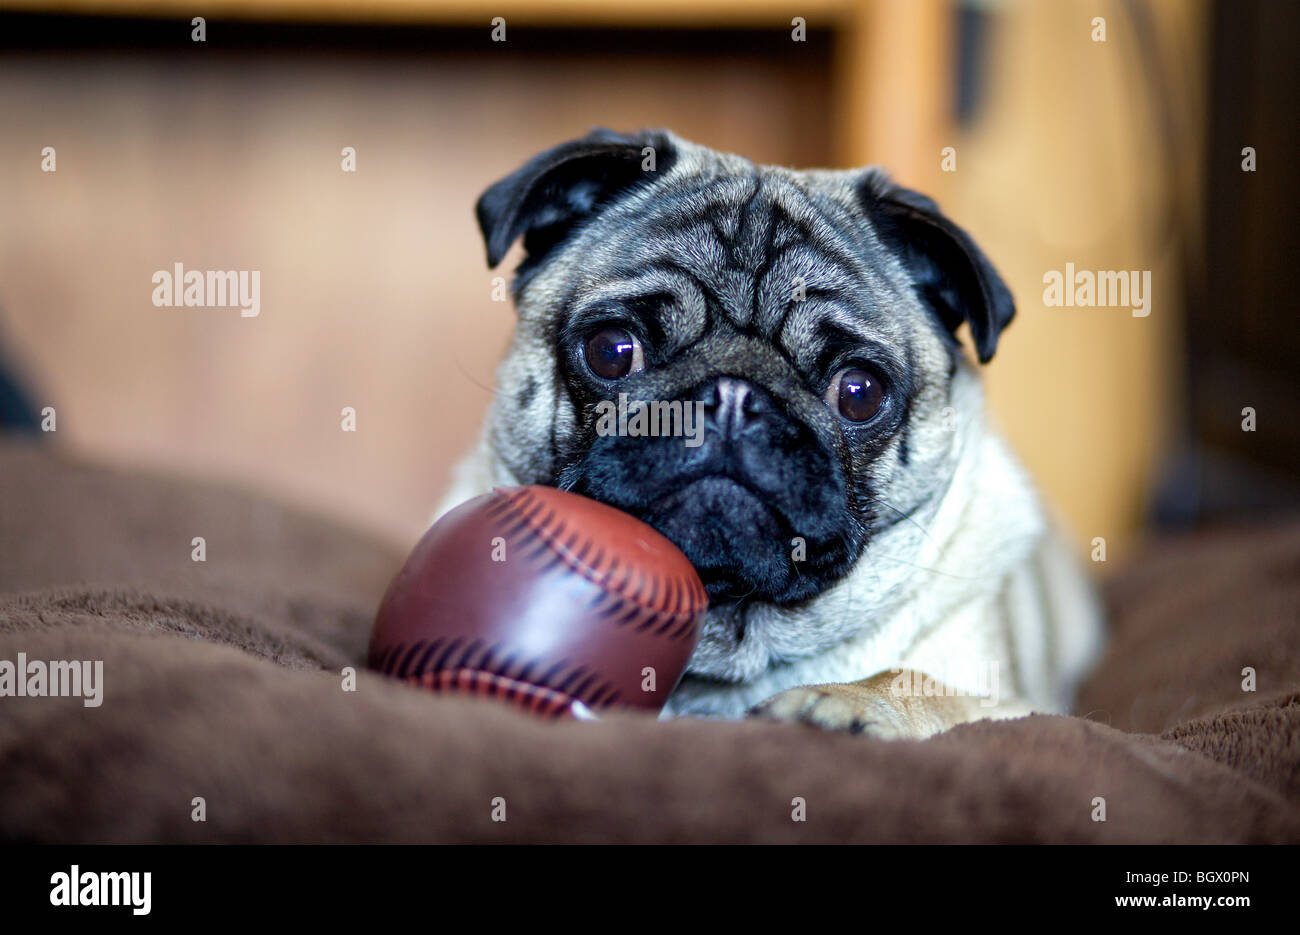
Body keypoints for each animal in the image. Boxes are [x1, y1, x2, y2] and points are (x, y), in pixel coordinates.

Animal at [434, 128, 1097, 738]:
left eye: (859, 391)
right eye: (612, 350)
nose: (733, 397)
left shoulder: (1020, 704)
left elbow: (918, 682)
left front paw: (845, 703)